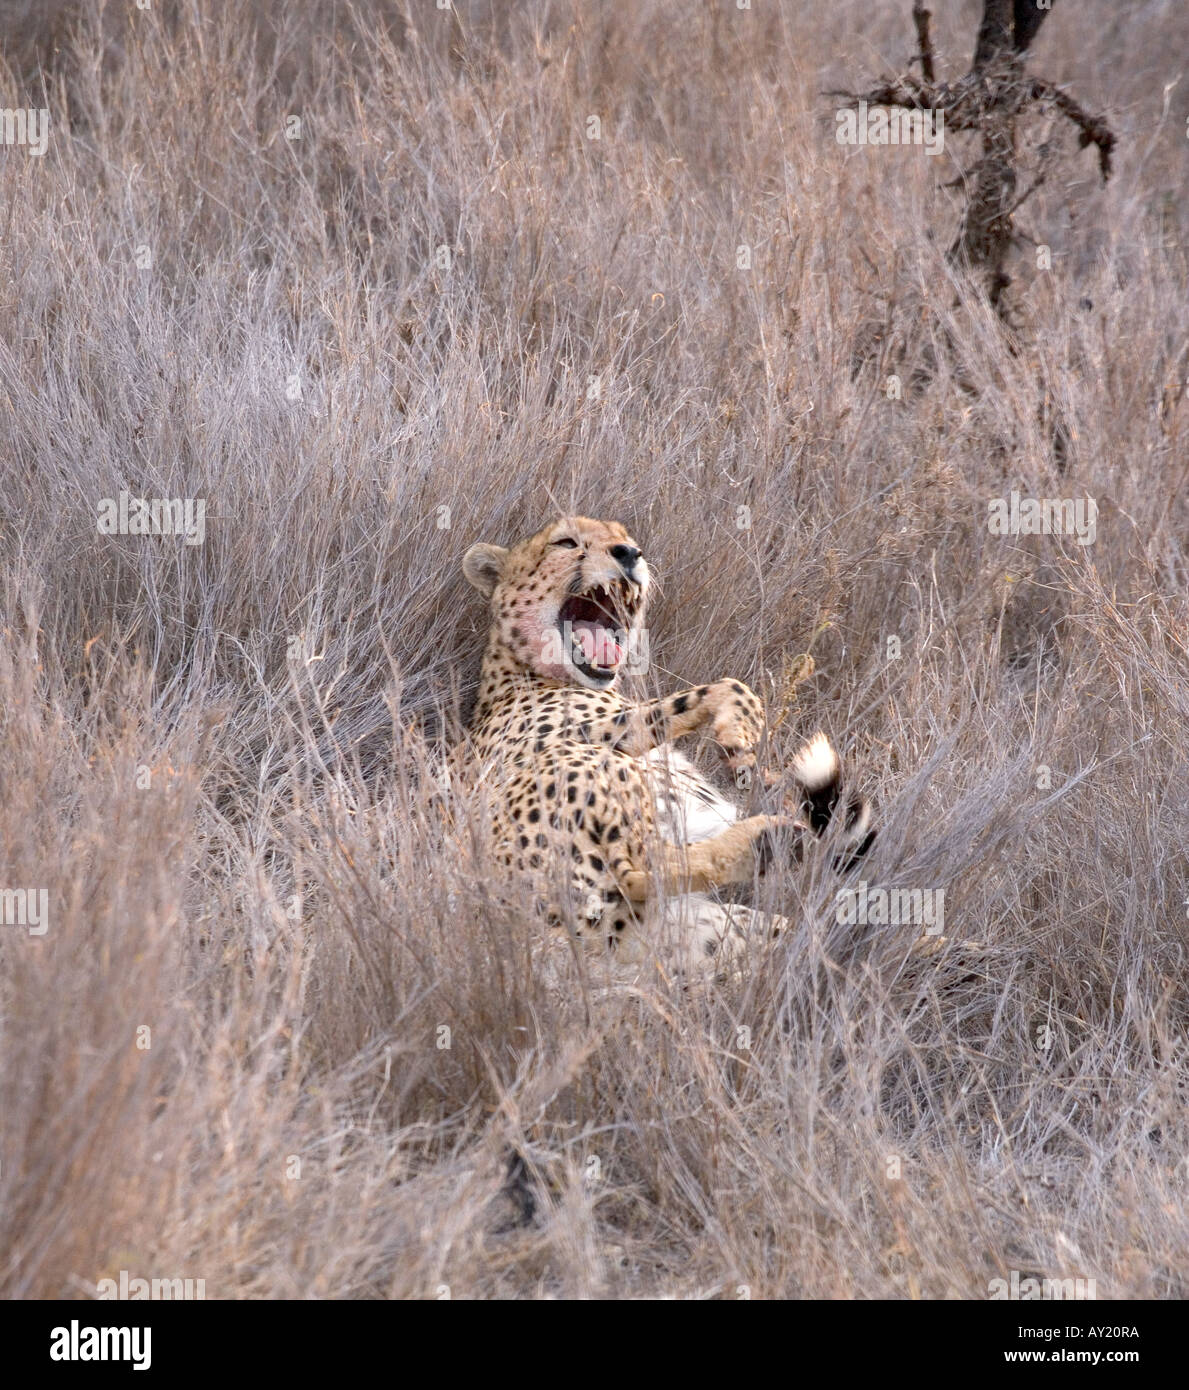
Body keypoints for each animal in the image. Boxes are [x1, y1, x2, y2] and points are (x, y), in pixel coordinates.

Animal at [461, 517, 878, 973]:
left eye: (625, 537)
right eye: (566, 542)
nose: (628, 553)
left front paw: (755, 762)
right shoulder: (580, 737)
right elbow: (727, 688)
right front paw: (739, 741)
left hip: (693, 929)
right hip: (582, 777)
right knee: (643, 867)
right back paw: (765, 843)